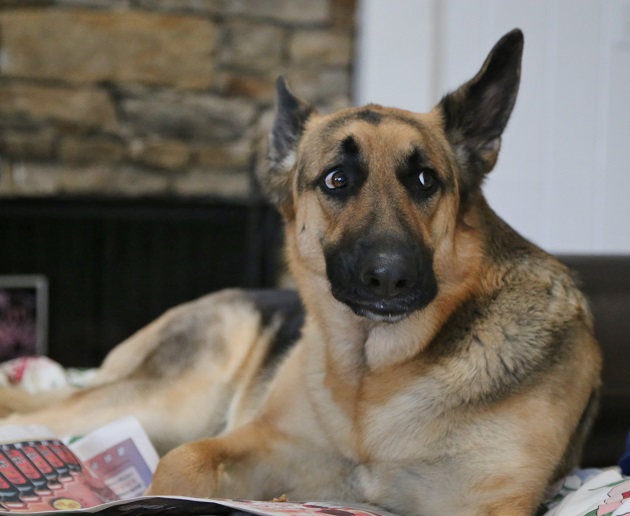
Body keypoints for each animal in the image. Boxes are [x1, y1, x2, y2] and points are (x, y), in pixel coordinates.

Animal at [0, 29, 601, 516]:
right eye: (336, 179)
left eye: (425, 180)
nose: (391, 278)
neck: (373, 379)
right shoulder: (259, 444)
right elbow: (179, 465)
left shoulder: (487, 502)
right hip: (162, 403)